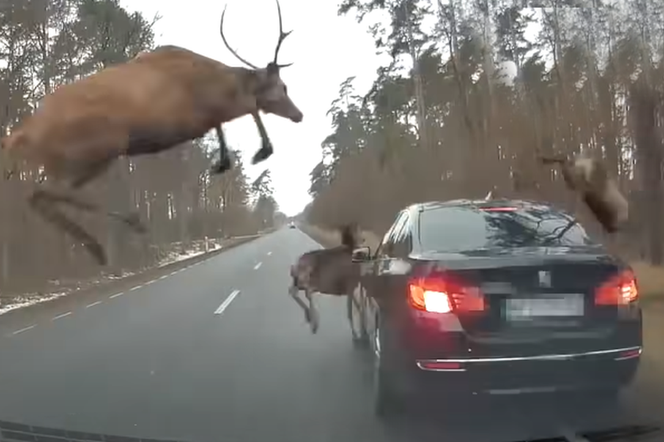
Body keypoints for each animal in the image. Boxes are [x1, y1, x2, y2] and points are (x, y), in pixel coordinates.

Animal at [1, 0, 302, 266]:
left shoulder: (202, 118)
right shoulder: (197, 113)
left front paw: (223, 162)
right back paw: (125, 227)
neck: (217, 81)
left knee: (38, 196)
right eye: (283, 87)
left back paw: (99, 246)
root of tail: (21, 135)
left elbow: (225, 124)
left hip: (71, 161)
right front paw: (260, 151)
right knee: (47, 193)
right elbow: (248, 108)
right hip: (99, 147)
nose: (298, 115)